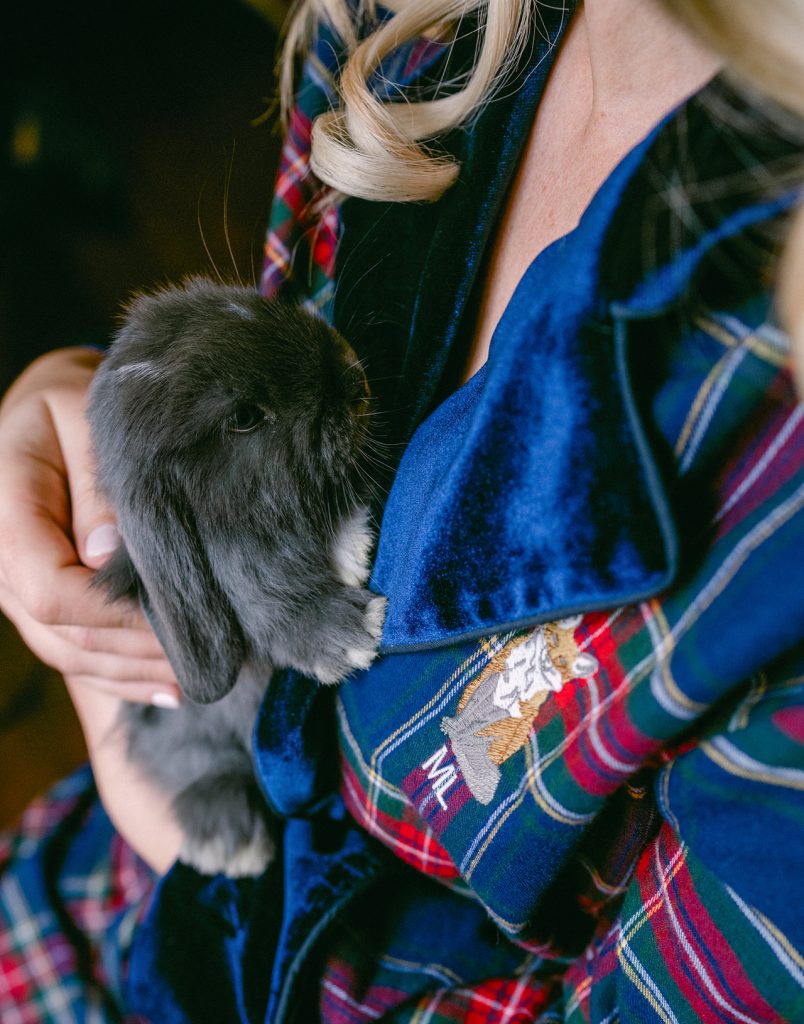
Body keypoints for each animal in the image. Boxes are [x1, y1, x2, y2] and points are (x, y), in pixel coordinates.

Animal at [88, 276, 385, 876]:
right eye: (244, 417)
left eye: (251, 301)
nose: (355, 375)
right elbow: (258, 595)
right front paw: (349, 636)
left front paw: (350, 546)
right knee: (198, 765)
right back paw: (230, 843)